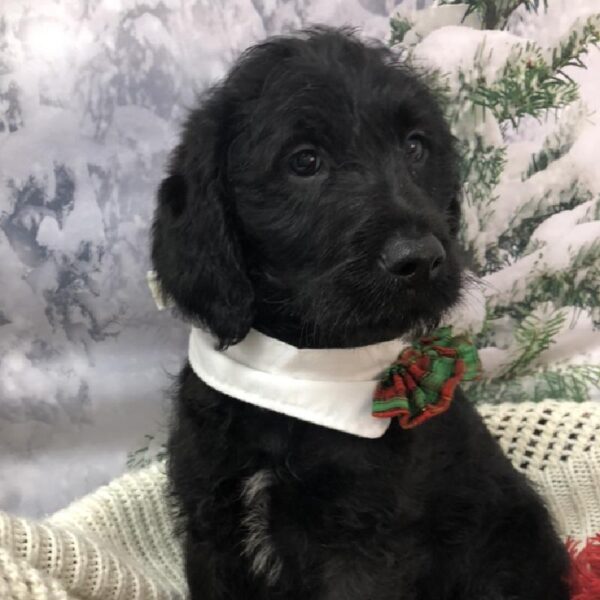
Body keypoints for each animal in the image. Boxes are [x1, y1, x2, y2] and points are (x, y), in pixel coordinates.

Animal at [150, 27, 568, 596]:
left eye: (415, 147)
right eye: (305, 161)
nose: (421, 259)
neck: (293, 379)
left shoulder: (361, 544)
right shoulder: (210, 525)